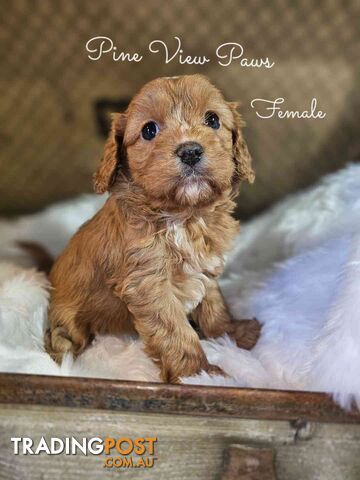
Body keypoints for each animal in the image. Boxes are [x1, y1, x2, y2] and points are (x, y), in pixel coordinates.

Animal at [46, 75, 260, 382]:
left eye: (213, 119)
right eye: (149, 130)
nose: (190, 151)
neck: (184, 216)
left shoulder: (206, 265)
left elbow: (214, 305)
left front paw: (230, 334)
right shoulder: (148, 285)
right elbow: (176, 333)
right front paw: (198, 374)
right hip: (68, 321)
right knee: (61, 340)